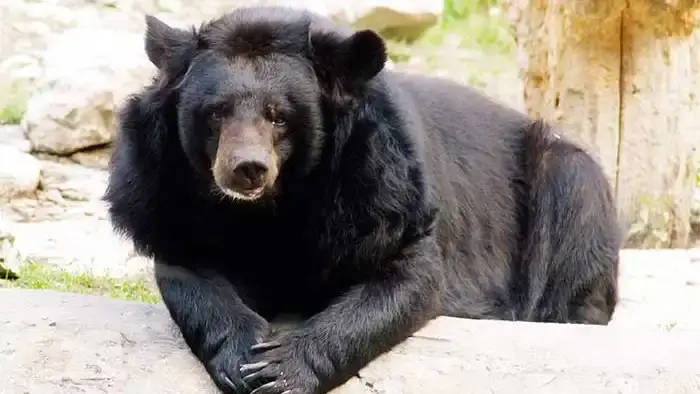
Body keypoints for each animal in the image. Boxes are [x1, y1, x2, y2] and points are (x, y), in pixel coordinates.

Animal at [102, 5, 616, 394]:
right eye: (215, 114)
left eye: (278, 116)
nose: (246, 168)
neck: (267, 206)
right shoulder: (160, 190)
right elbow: (189, 270)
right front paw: (246, 358)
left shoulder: (381, 186)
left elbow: (402, 276)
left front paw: (281, 372)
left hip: (568, 179)